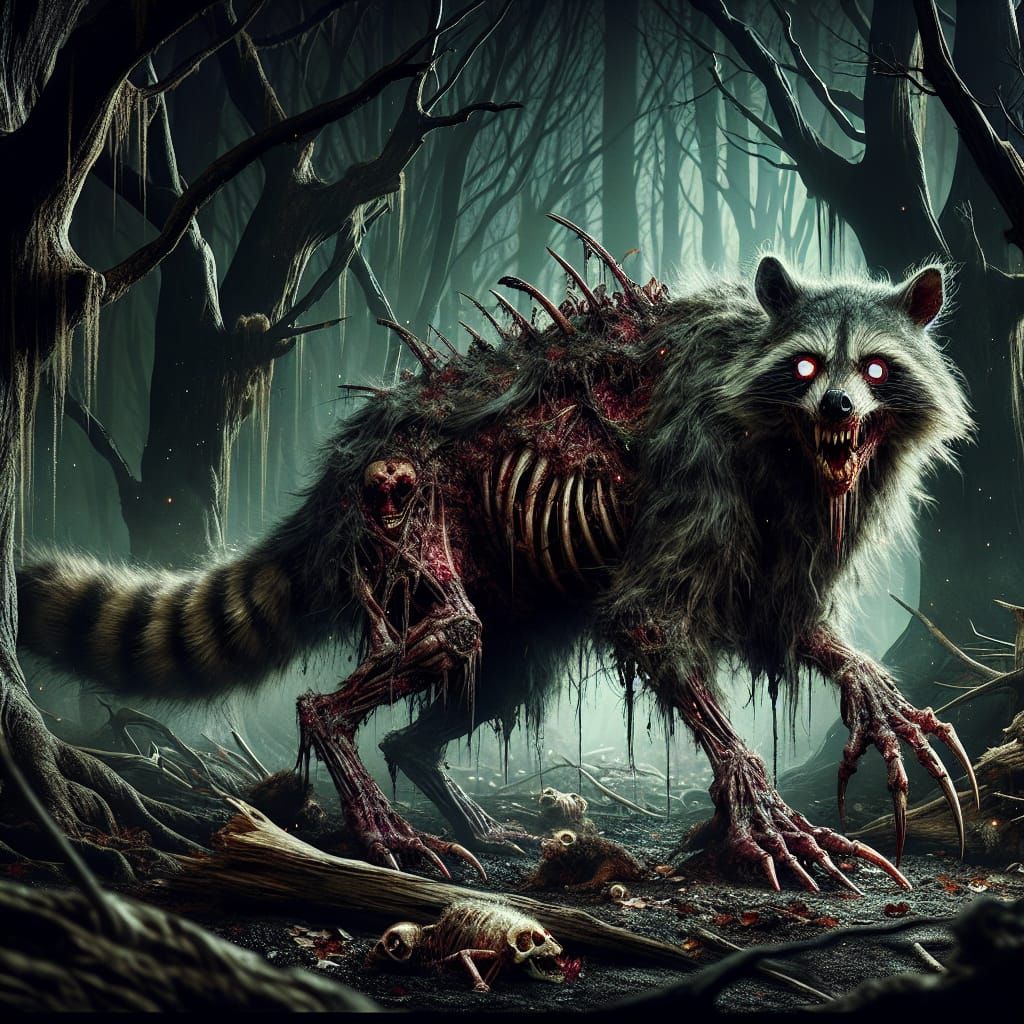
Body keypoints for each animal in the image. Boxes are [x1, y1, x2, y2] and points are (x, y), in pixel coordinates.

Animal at [16, 217, 975, 891]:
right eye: (808, 367)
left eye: (878, 370)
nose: (840, 411)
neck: (786, 441)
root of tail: (346, 457)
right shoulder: (696, 471)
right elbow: (651, 624)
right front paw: (766, 813)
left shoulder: (792, 540)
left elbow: (793, 626)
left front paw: (872, 689)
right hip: (405, 505)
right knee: (426, 647)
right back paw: (381, 825)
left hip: (508, 605)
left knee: (482, 686)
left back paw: (449, 802)